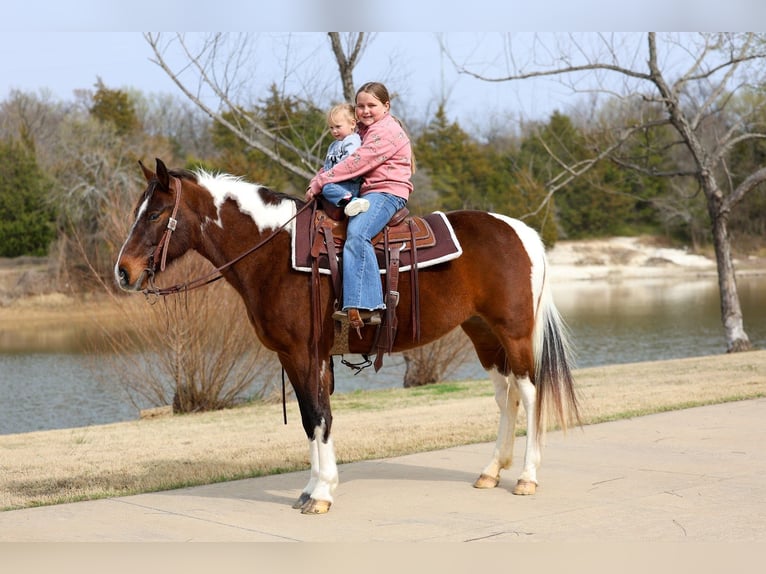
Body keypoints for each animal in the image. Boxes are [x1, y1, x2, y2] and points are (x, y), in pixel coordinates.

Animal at [115, 158, 580, 515]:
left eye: (154, 214)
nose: (123, 272)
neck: (273, 252)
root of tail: (520, 231)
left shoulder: (303, 353)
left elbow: (317, 417)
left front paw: (321, 493)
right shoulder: (300, 357)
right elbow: (313, 417)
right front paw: (311, 488)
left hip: (514, 333)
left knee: (531, 394)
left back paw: (526, 476)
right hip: (483, 334)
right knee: (506, 396)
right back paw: (491, 470)